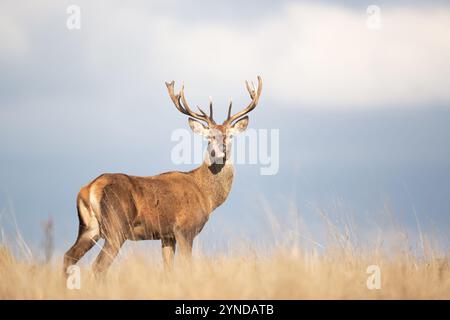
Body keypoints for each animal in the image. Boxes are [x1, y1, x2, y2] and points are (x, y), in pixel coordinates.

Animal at [61, 75, 262, 276]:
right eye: (209, 137)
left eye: (229, 136)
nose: (219, 152)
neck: (207, 196)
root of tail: (90, 188)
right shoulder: (184, 229)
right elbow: (186, 266)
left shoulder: (166, 236)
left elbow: (168, 270)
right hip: (116, 226)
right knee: (98, 266)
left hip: (89, 228)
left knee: (68, 257)